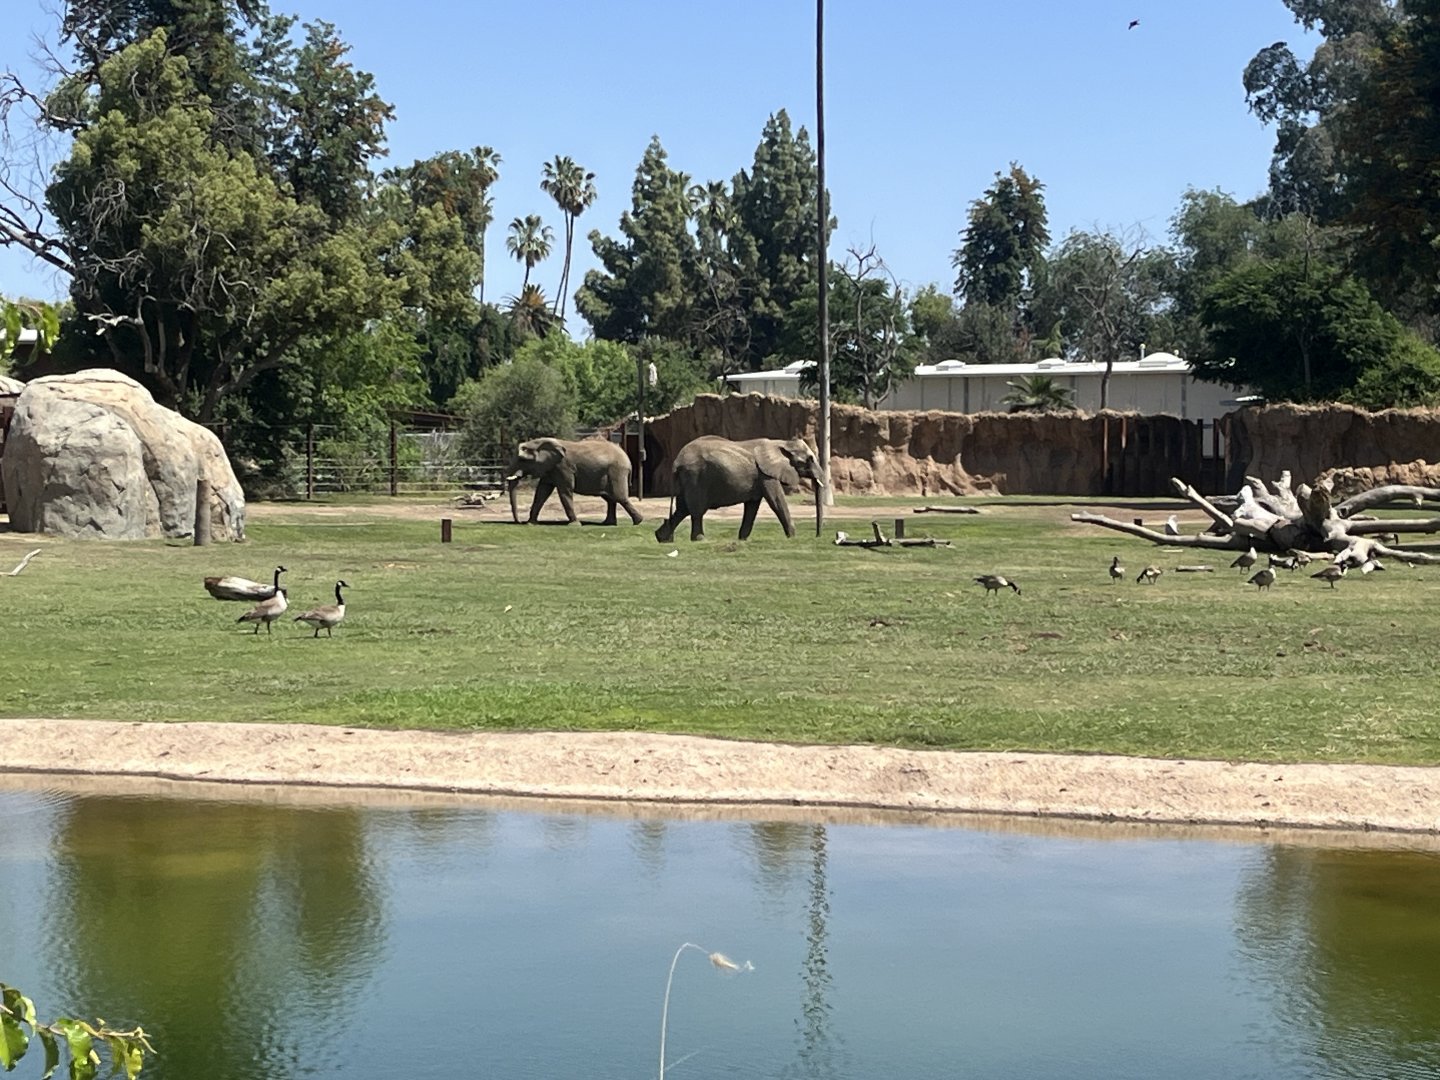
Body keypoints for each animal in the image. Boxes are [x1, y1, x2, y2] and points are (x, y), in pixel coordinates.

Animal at [506, 437, 643, 526]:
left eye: (522, 459)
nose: (519, 522)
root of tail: (627, 459)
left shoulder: (563, 467)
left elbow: (565, 491)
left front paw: (575, 525)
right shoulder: (551, 468)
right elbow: (542, 492)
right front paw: (531, 524)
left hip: (617, 472)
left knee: (619, 497)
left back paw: (638, 522)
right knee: (610, 498)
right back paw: (608, 523)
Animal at [654, 436, 824, 542]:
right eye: (809, 460)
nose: (817, 536)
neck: (781, 443)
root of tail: (677, 461)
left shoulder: (760, 477)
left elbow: (752, 506)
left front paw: (743, 539)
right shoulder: (766, 475)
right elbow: (776, 501)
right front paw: (793, 538)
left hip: (688, 479)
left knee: (682, 509)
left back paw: (662, 538)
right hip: (695, 477)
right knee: (696, 511)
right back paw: (700, 540)